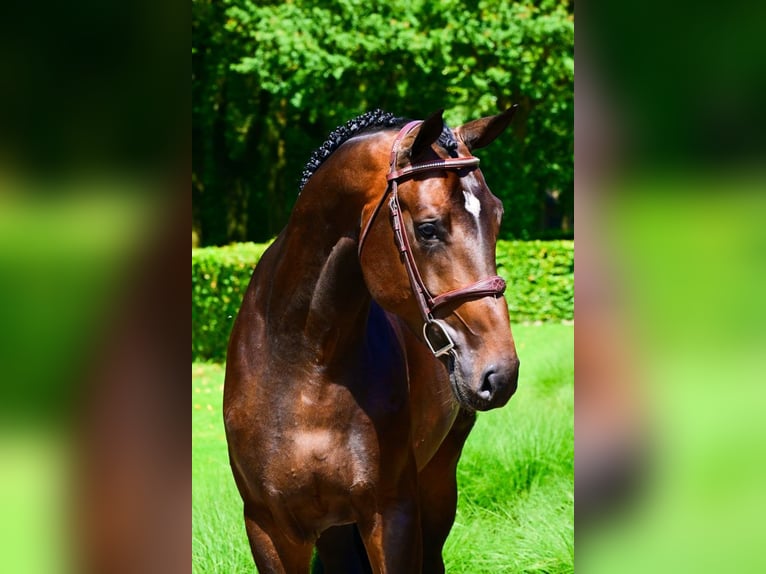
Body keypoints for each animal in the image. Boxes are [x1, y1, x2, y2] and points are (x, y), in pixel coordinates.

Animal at [222, 106, 520, 572]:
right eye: (428, 228)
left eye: (497, 217)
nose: (499, 374)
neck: (305, 367)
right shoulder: (268, 528)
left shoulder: (392, 513)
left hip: (437, 479)